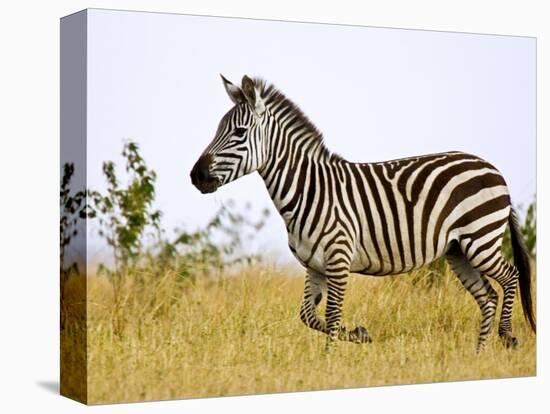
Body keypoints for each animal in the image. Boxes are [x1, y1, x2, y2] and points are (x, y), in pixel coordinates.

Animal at [192, 74, 536, 350]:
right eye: (218, 129)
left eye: (238, 133)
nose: (196, 176)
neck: (309, 189)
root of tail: (492, 167)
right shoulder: (314, 266)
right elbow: (308, 316)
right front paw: (359, 334)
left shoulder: (339, 259)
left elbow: (331, 315)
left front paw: (328, 361)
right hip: (458, 251)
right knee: (488, 296)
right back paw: (479, 354)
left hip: (480, 239)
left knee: (511, 276)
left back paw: (507, 336)